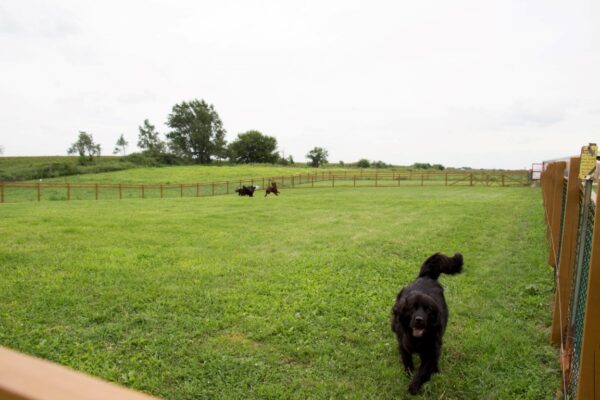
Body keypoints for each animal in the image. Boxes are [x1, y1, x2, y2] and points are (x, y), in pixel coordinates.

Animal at [390, 253, 464, 394]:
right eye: (412, 308)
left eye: (428, 310)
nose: (419, 319)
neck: (417, 339)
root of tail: (426, 276)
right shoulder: (404, 344)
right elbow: (407, 359)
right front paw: (409, 373)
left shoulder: (431, 350)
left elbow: (424, 369)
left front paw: (414, 385)